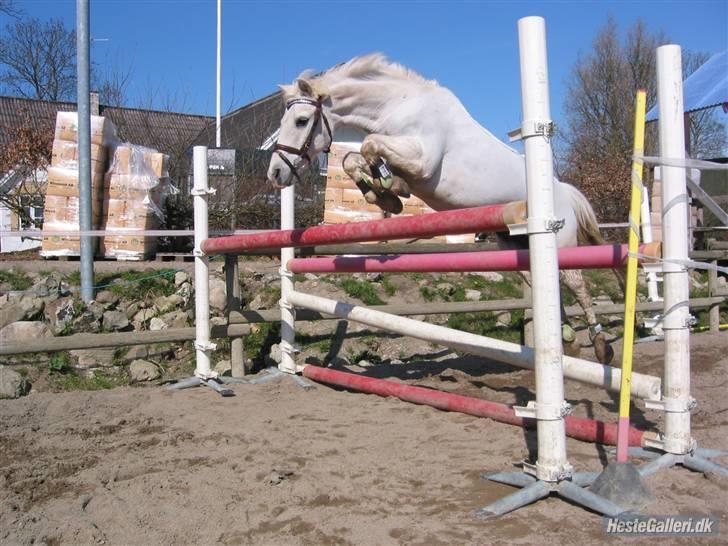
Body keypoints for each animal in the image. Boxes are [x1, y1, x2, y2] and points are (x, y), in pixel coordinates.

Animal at [266, 53, 615, 364]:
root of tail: (563, 190)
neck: (398, 104)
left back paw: (599, 347)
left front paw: (391, 189)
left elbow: (370, 145)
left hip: (560, 244)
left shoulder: (421, 161)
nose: (276, 173)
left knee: (578, 284)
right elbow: (356, 158)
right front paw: (384, 192)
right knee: (545, 283)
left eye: (301, 121)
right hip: (516, 247)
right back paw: (565, 337)